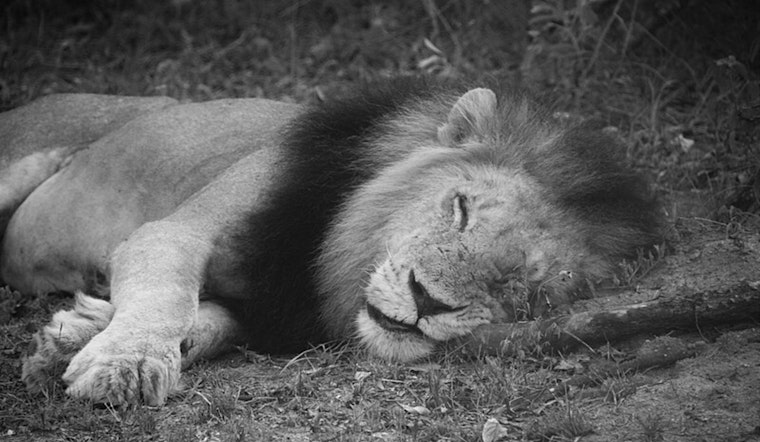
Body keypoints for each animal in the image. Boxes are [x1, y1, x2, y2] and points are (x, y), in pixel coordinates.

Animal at [0, 77, 662, 406]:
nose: (427, 300)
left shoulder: (268, 315)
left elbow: (209, 321)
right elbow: (168, 291)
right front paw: (125, 363)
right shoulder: (178, 230)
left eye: (521, 287)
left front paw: (73, 339)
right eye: (461, 208)